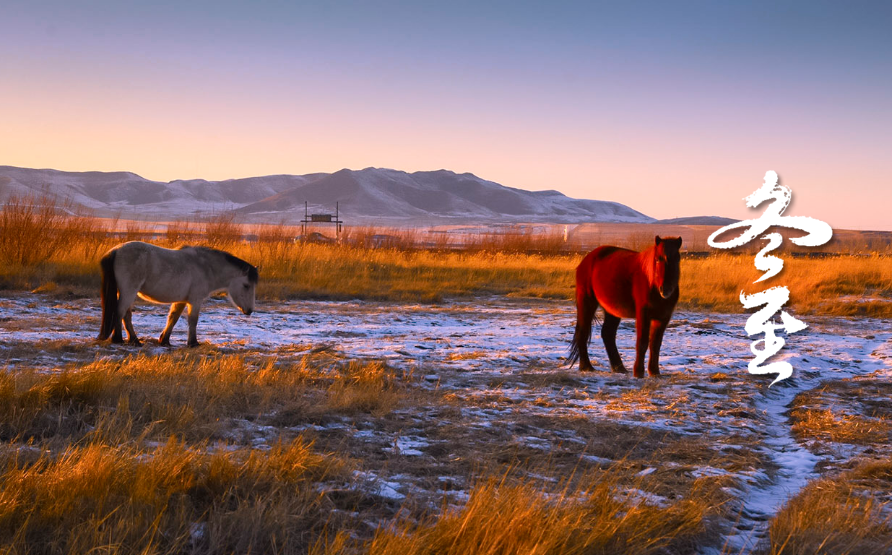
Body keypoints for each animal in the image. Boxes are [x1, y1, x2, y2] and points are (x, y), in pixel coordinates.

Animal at [98, 242, 258, 348]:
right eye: (246, 285)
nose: (249, 311)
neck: (205, 267)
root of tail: (116, 250)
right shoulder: (195, 300)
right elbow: (193, 320)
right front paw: (193, 343)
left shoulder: (181, 300)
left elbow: (173, 318)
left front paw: (164, 340)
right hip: (129, 291)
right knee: (120, 312)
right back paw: (119, 339)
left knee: (126, 314)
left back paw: (133, 340)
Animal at [572, 237, 684, 380]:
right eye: (658, 259)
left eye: (677, 258)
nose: (665, 290)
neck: (651, 283)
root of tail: (587, 260)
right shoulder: (643, 315)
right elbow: (642, 343)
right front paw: (638, 373)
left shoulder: (663, 318)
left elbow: (655, 345)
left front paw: (654, 372)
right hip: (587, 302)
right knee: (583, 332)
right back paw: (586, 367)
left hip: (612, 311)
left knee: (607, 334)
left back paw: (619, 368)